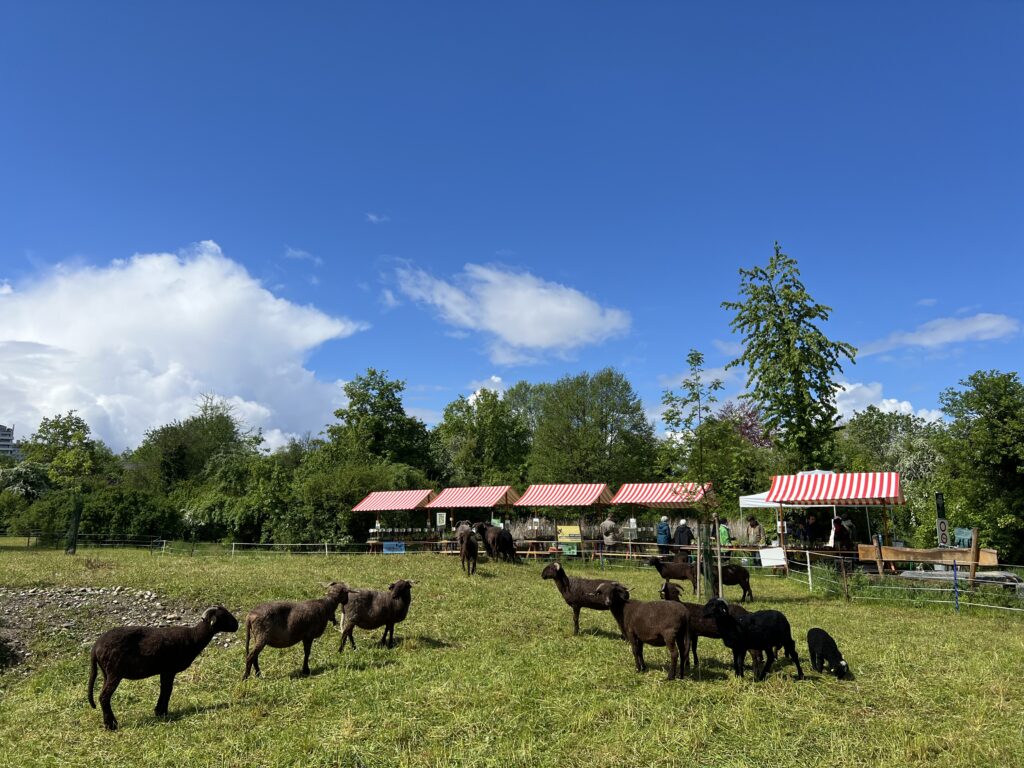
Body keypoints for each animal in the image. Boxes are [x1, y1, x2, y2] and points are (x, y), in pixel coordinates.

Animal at [87, 606, 237, 729]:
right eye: (224, 617)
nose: (237, 625)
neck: (194, 637)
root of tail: (95, 647)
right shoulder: (169, 670)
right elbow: (167, 690)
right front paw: (162, 712)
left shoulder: (164, 671)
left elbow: (164, 689)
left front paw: (159, 711)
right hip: (114, 672)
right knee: (104, 697)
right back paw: (111, 725)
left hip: (106, 672)